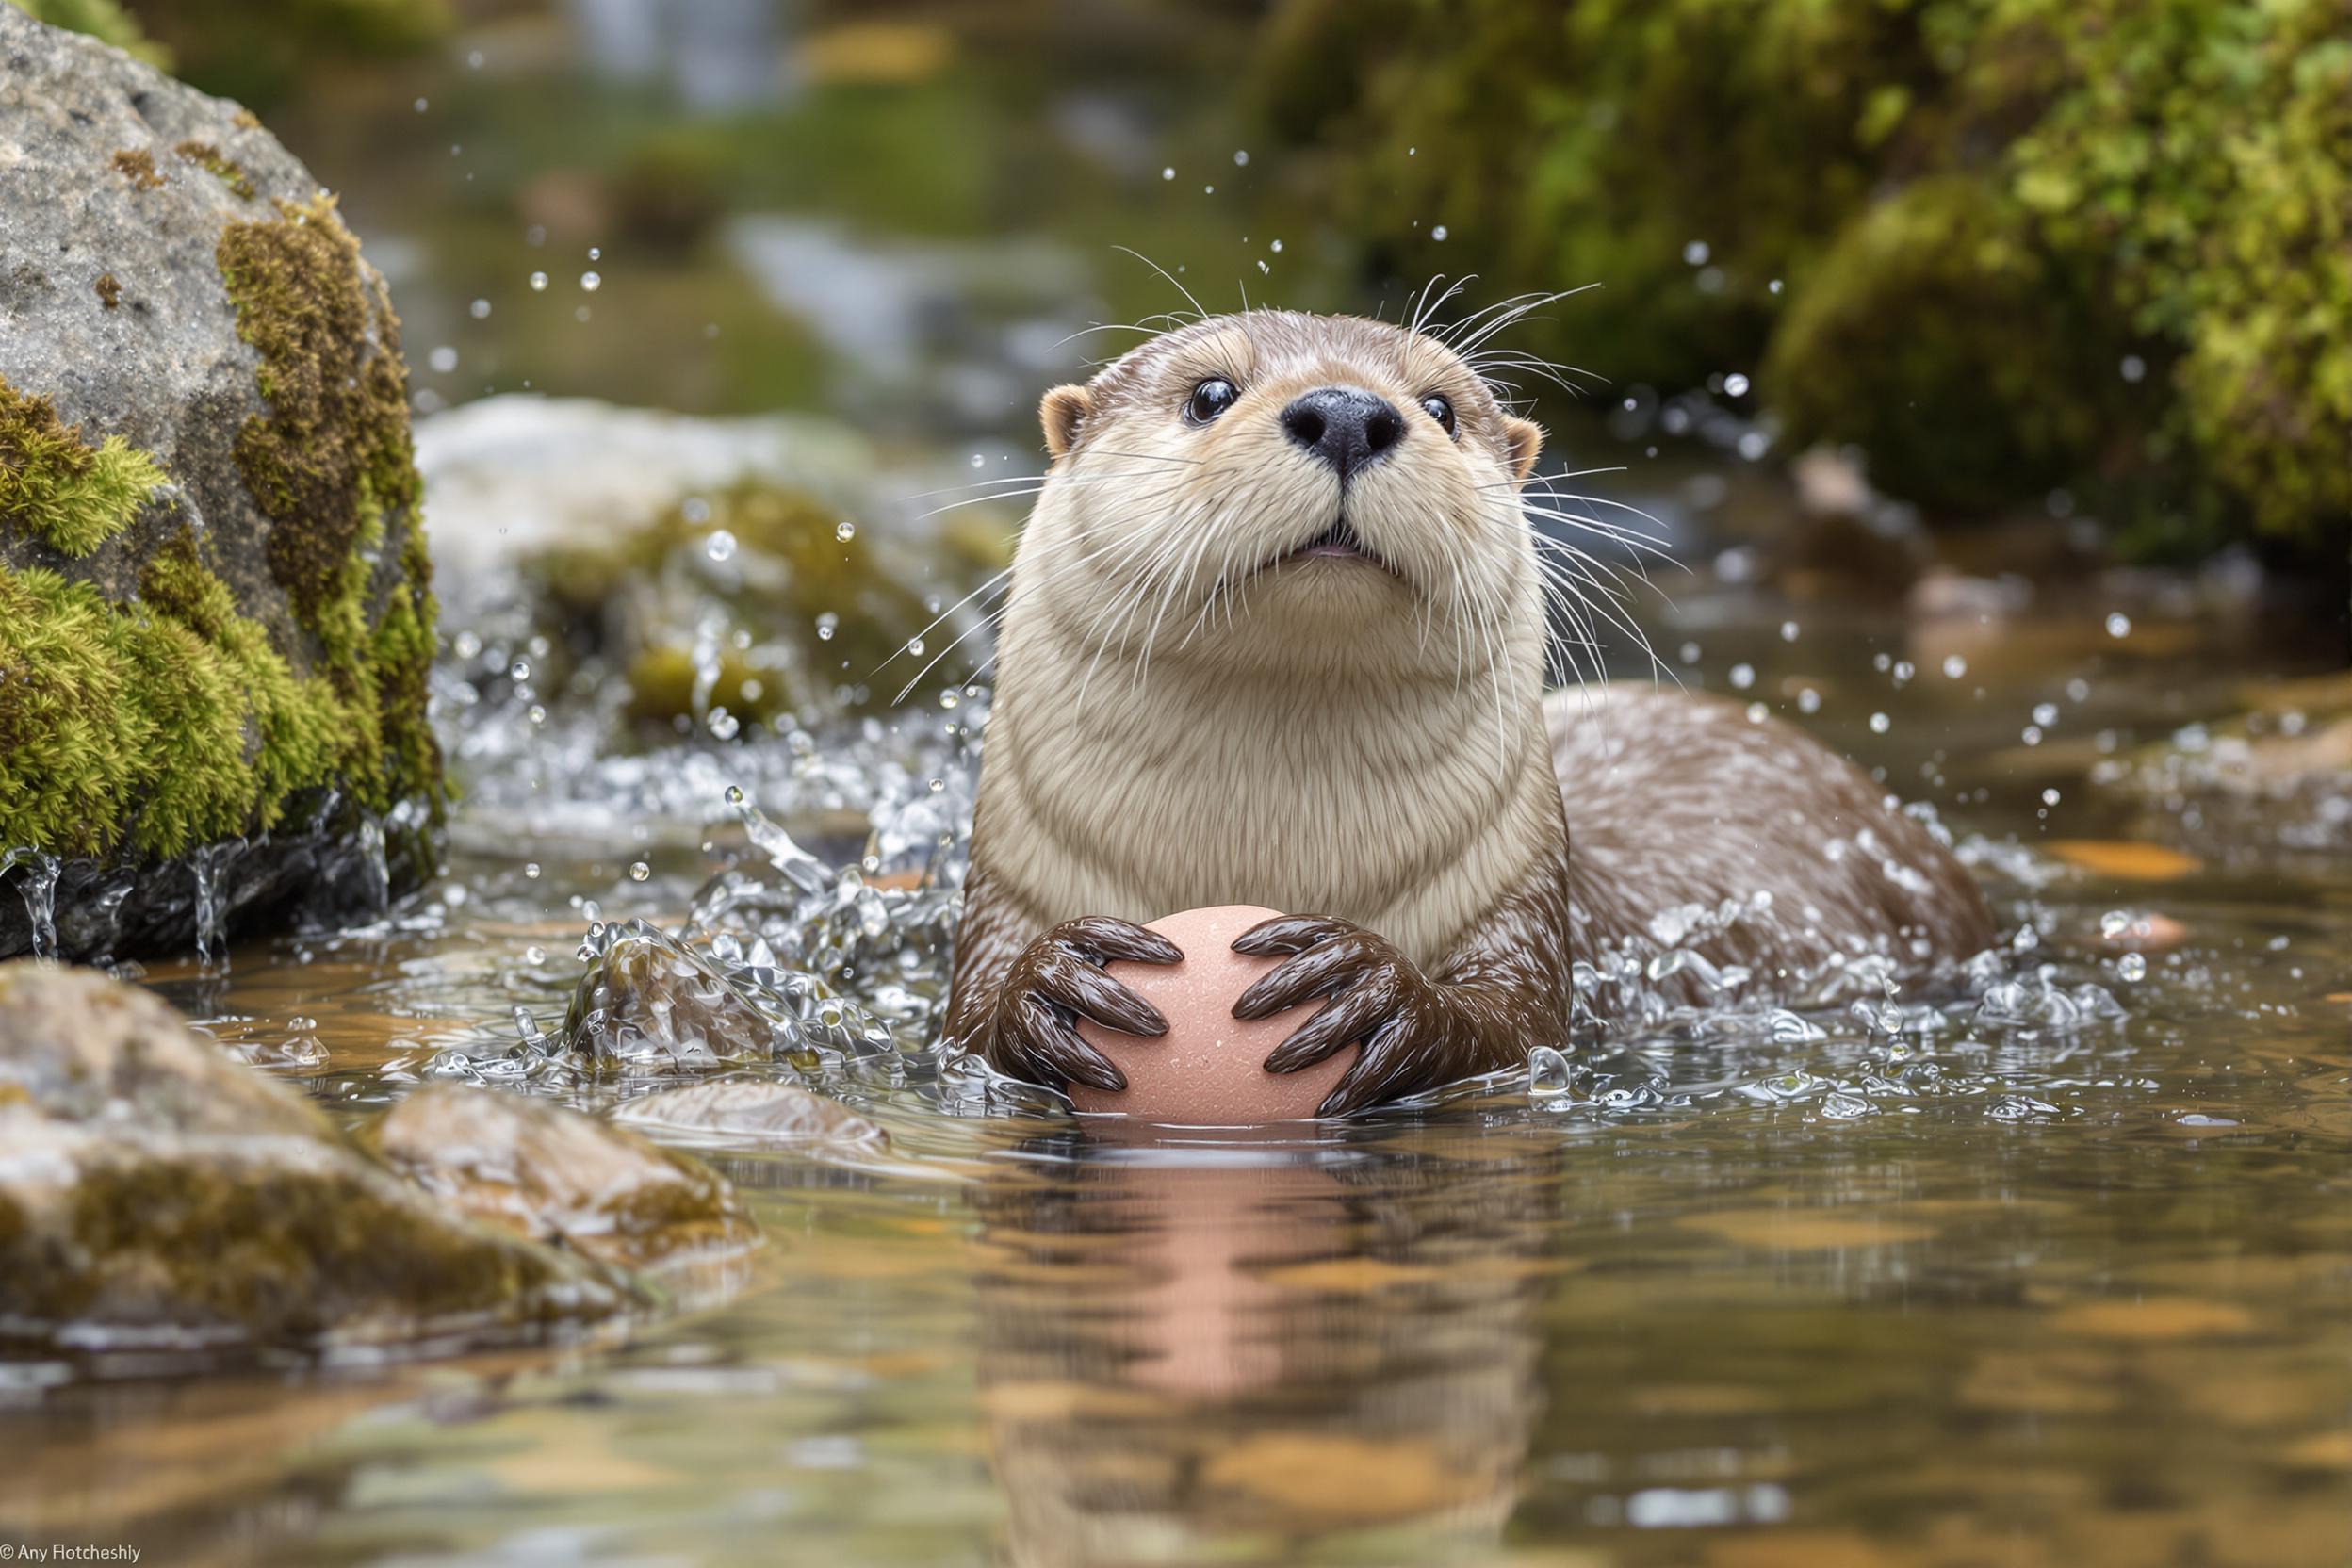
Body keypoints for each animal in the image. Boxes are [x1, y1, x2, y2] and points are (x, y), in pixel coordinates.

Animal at [945, 312, 1994, 1109]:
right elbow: (968, 1026)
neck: (1265, 839)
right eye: (1209, 393)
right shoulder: (1003, 895)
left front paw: (1374, 990)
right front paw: (1049, 982)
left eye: (1441, 406)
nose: (1347, 411)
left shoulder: (1522, 906)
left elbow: (1513, 1028)